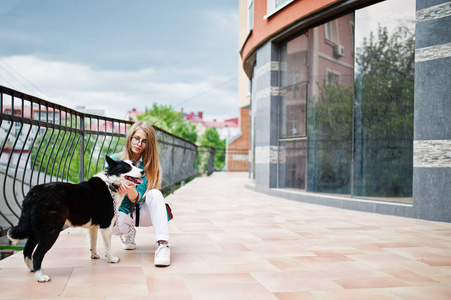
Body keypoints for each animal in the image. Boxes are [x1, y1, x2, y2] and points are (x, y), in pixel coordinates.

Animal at [7, 156, 144, 282]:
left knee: (27, 251)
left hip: (36, 229)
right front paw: (111, 259)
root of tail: (35, 192)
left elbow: (93, 243)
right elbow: (107, 246)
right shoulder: (106, 226)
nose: (142, 171)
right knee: (37, 254)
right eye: (127, 168)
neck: (111, 183)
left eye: (134, 164)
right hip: (51, 231)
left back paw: (32, 270)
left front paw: (94, 256)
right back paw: (40, 277)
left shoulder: (93, 227)